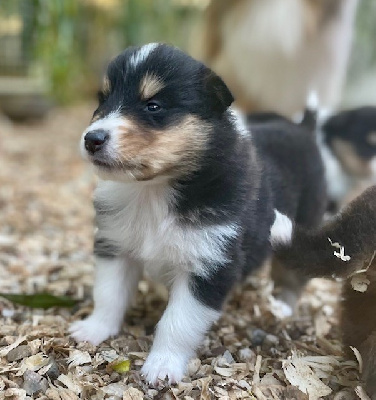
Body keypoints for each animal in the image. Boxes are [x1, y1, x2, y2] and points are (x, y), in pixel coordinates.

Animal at [70, 43, 326, 384]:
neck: (154, 191)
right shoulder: (116, 247)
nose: (92, 139)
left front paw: (162, 366)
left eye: (153, 106)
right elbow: (109, 294)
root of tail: (303, 129)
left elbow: (177, 322)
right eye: (102, 100)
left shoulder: (209, 266)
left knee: (292, 274)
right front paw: (94, 329)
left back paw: (282, 307)